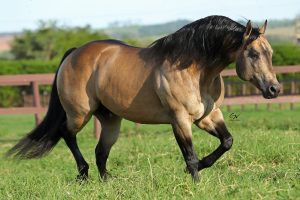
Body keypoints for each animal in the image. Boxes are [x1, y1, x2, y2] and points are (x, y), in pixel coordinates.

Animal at [7, 14, 280, 182]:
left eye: (270, 53)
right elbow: (190, 156)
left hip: (110, 120)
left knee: (100, 151)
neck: (194, 69)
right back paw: (83, 174)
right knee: (67, 134)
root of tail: (74, 53)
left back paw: (106, 182)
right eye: (253, 54)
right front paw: (195, 180)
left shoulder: (208, 116)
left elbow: (227, 142)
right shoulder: (180, 120)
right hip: (79, 114)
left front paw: (200, 167)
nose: (274, 89)